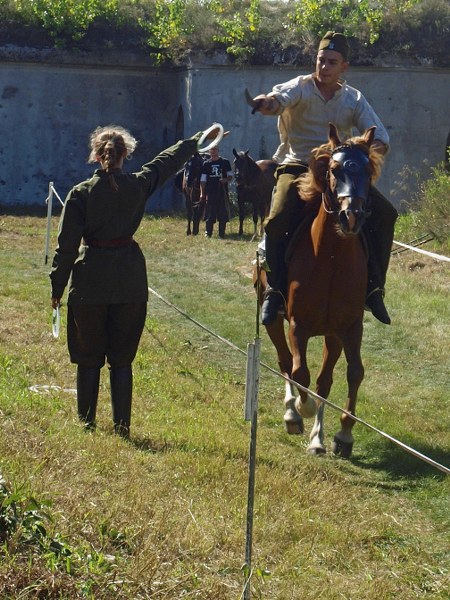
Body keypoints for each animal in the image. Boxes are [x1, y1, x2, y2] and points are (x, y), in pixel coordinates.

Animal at [256, 124, 383, 458]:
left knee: (324, 379)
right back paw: (292, 414)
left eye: (368, 171)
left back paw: (317, 437)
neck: (332, 259)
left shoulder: (348, 327)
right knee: (285, 362)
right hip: (273, 318)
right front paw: (302, 409)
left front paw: (342, 435)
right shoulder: (298, 325)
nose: (351, 216)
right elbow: (300, 371)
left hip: (332, 334)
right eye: (335, 169)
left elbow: (352, 373)